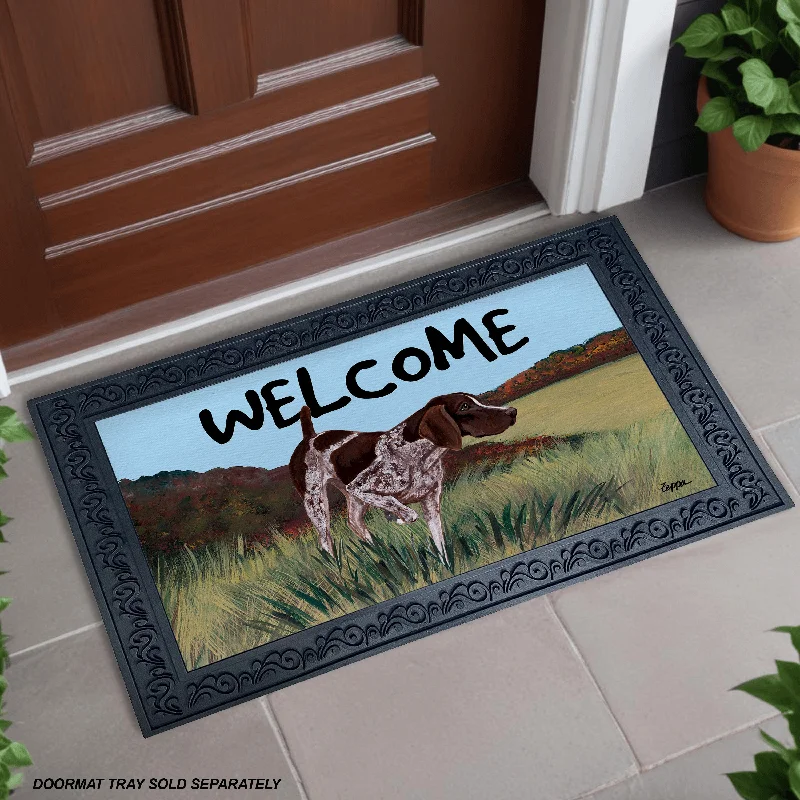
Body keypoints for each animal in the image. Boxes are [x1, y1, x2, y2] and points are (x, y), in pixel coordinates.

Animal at [290, 394, 520, 564]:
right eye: (464, 406)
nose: (512, 412)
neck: (419, 454)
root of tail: (309, 437)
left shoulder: (430, 503)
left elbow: (440, 543)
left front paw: (447, 567)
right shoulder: (361, 487)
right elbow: (406, 511)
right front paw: (397, 517)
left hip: (353, 500)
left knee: (354, 523)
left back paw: (381, 553)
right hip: (317, 505)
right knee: (325, 541)